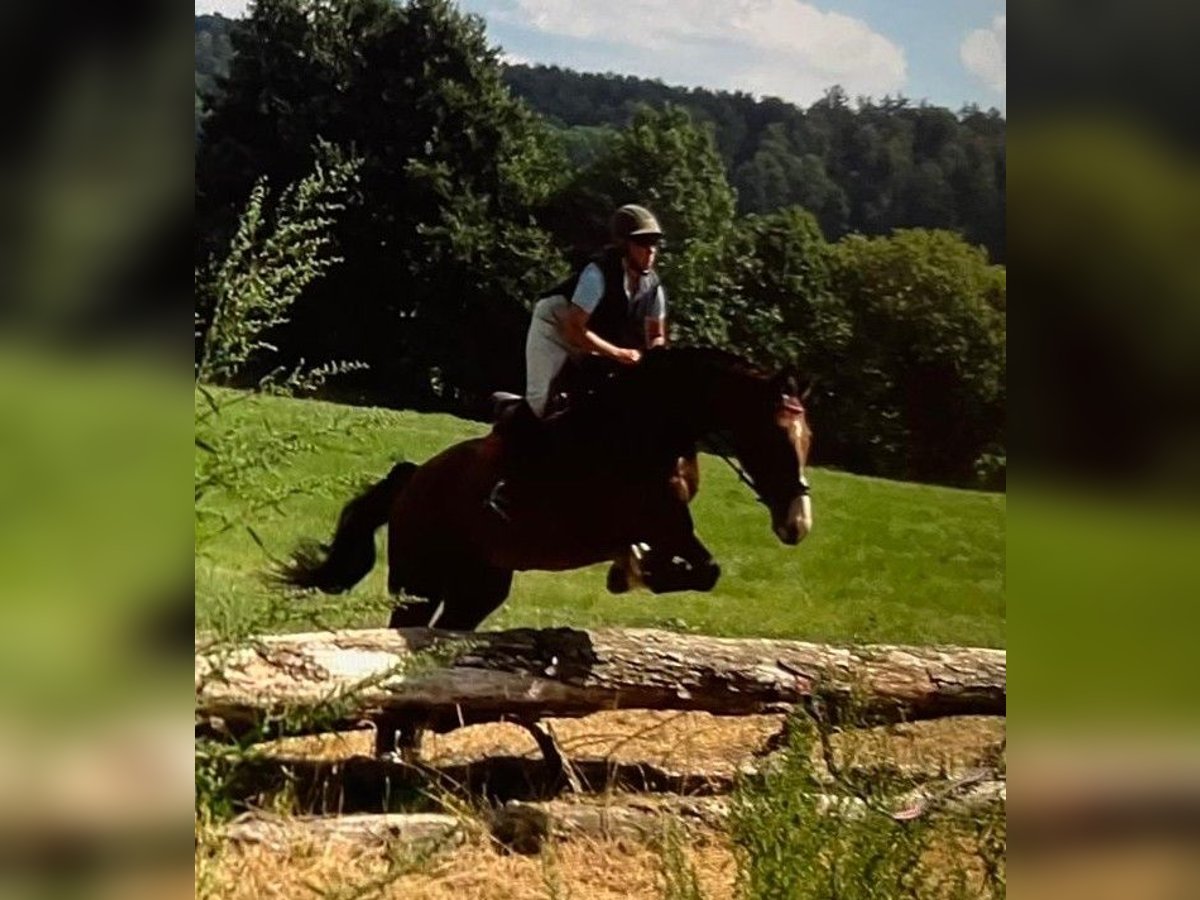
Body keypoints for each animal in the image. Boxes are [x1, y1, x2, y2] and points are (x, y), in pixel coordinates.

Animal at [276, 348, 811, 628]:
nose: (797, 526)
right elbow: (703, 569)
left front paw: (630, 571)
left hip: (480, 585)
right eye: (774, 438)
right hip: (419, 580)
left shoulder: (667, 525)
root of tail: (413, 478)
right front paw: (633, 574)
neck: (653, 425)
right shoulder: (654, 521)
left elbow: (702, 568)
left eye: (808, 440)